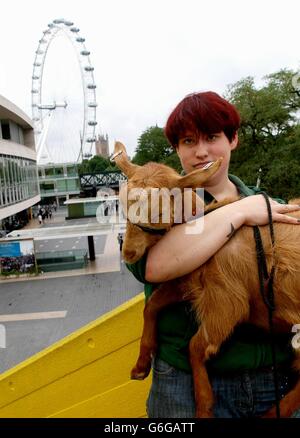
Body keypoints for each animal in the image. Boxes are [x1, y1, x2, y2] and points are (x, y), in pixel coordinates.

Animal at [112, 142, 300, 420]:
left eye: (159, 210)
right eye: (123, 206)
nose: (129, 253)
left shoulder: (225, 301)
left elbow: (196, 347)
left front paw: (203, 406)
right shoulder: (189, 282)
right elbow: (152, 305)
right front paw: (141, 365)